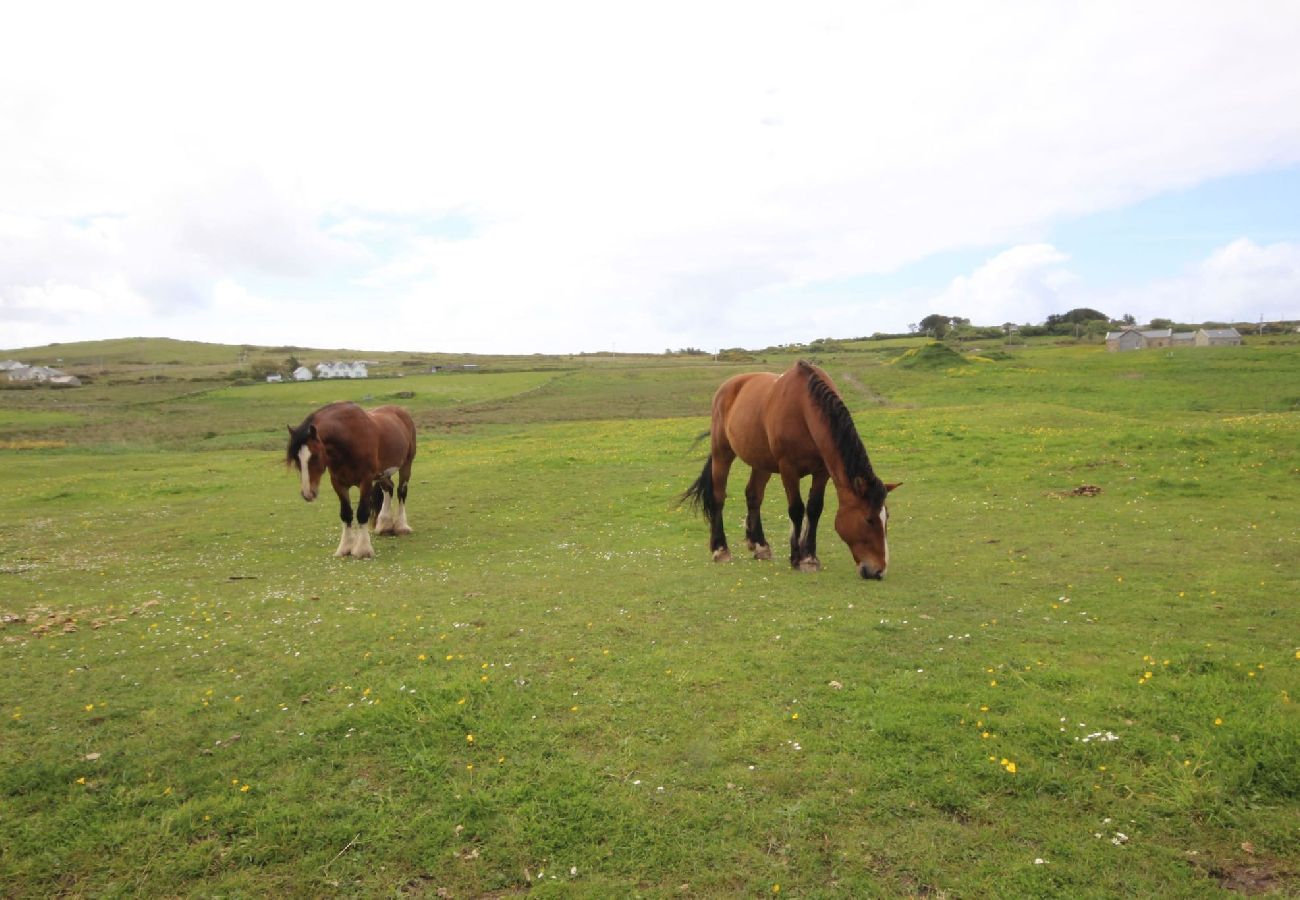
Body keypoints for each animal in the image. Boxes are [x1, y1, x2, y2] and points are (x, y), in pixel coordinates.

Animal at [286, 400, 416, 556]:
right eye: (296, 459)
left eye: (315, 456)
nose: (307, 494)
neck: (350, 440)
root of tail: (402, 412)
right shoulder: (338, 483)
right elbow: (346, 513)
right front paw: (345, 548)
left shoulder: (366, 481)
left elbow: (362, 513)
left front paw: (362, 549)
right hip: (383, 473)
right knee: (388, 489)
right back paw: (384, 525)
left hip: (406, 465)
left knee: (401, 492)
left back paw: (402, 526)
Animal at [681, 361, 894, 580]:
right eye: (869, 520)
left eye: (886, 517)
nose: (878, 570)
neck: (803, 409)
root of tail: (727, 386)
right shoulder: (788, 469)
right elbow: (797, 509)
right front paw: (797, 558)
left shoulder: (822, 471)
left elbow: (814, 509)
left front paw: (810, 557)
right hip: (722, 453)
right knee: (718, 497)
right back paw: (720, 549)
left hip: (761, 462)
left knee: (753, 495)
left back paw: (760, 546)